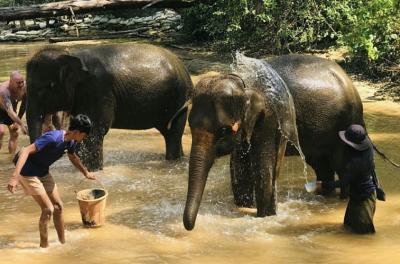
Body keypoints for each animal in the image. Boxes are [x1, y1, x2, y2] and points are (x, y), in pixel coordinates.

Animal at [25, 43, 194, 170]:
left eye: (44, 89)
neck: (70, 54)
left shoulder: (97, 90)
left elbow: (93, 132)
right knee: (170, 133)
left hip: (178, 98)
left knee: (173, 133)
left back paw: (172, 161)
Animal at [177, 54, 368, 231]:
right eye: (190, 126)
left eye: (223, 130)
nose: (191, 226)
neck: (242, 81)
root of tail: (348, 79)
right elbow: (239, 165)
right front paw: (245, 207)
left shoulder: (272, 117)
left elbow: (264, 167)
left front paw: (266, 217)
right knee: (321, 165)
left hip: (347, 122)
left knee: (341, 166)